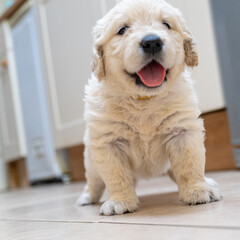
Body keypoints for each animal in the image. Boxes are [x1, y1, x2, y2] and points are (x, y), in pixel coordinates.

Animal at [77, 0, 221, 216]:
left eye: (166, 25)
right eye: (122, 30)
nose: (152, 41)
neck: (144, 99)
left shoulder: (182, 131)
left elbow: (189, 164)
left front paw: (197, 190)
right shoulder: (108, 142)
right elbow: (116, 176)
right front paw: (120, 201)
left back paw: (207, 181)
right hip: (91, 161)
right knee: (94, 182)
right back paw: (87, 197)